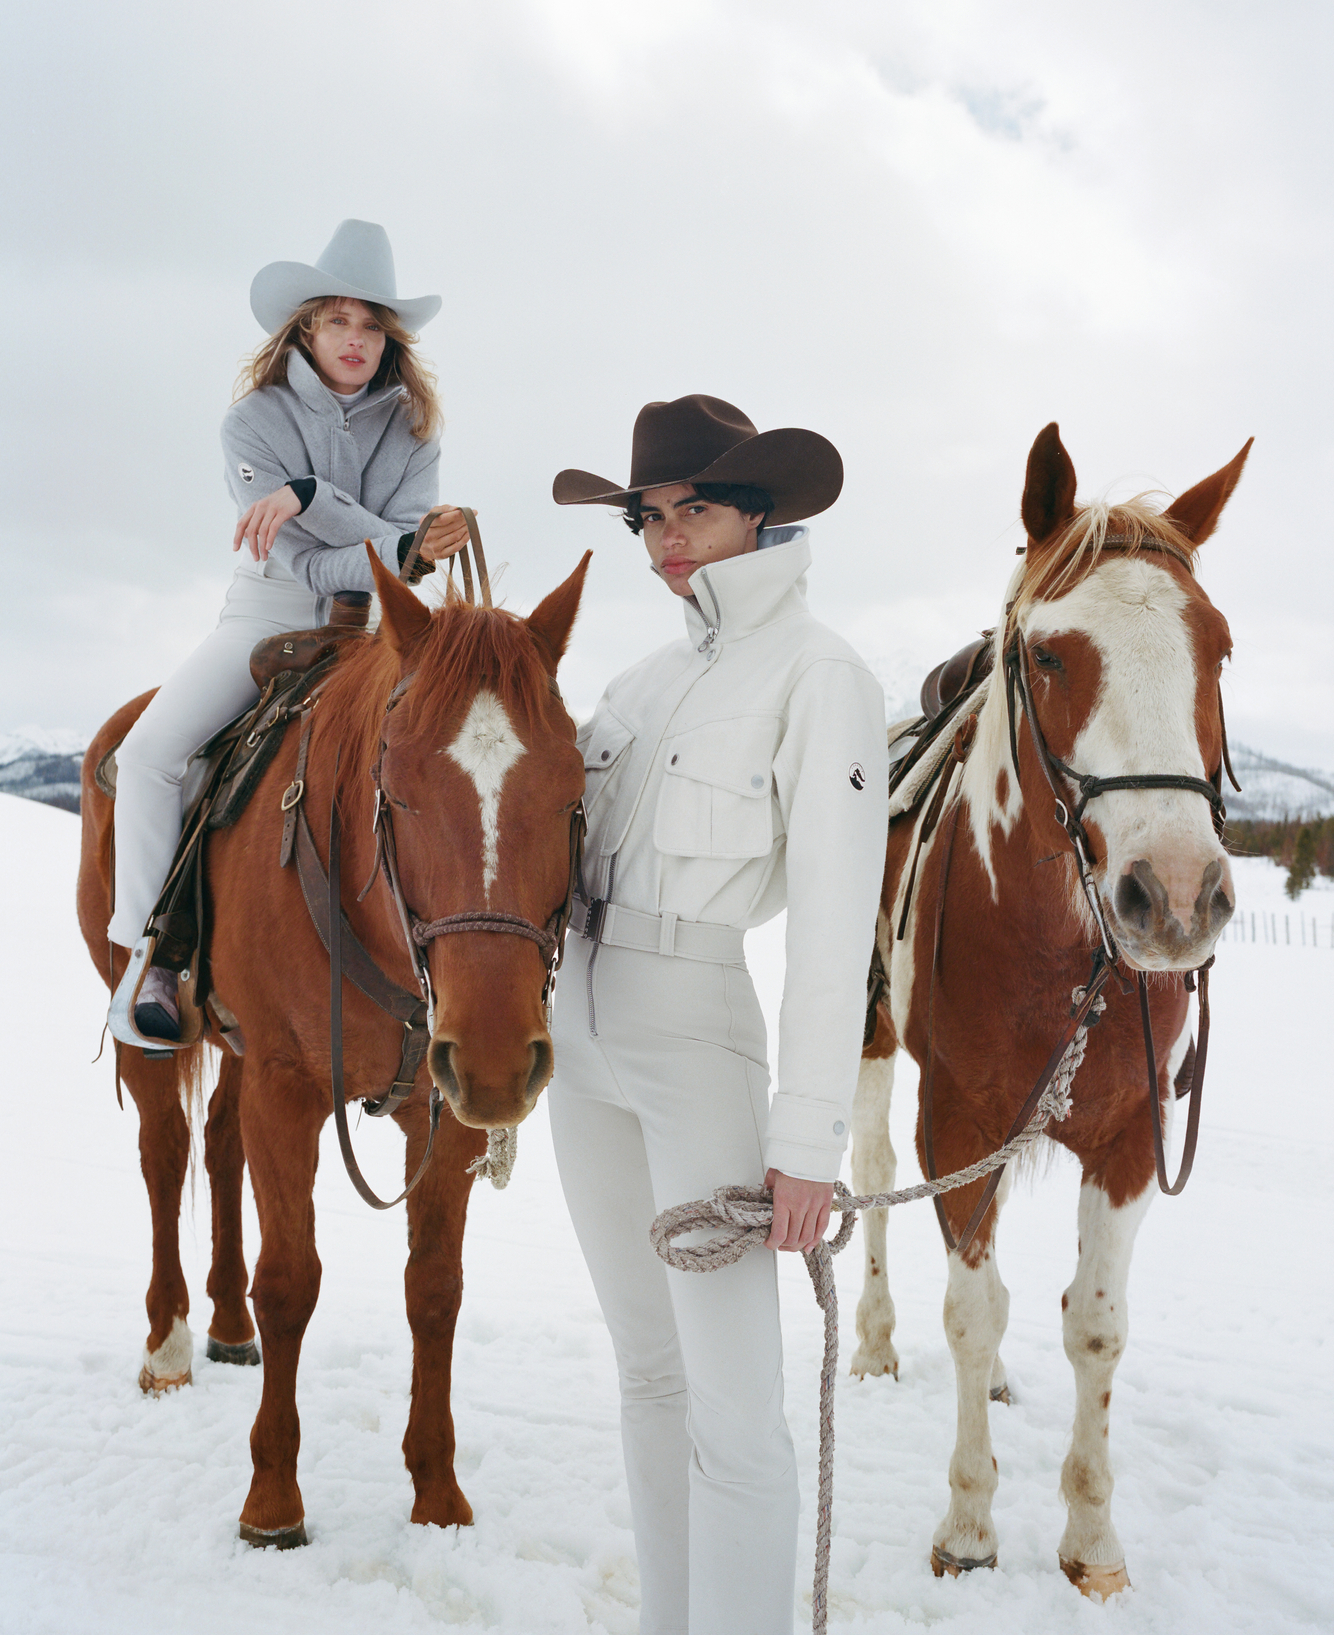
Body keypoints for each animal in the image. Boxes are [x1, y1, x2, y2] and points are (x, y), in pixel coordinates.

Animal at [78, 549, 588, 1543]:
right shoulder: (289, 1087)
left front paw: (437, 1492)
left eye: (575, 790)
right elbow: (291, 1281)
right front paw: (273, 1500)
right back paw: (169, 1342)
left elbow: (435, 1287)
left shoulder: (442, 1107)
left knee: (221, 1143)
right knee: (166, 1151)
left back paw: (225, 1323)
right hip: (148, 1021)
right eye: (399, 788)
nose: (503, 1060)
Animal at [850, 421, 1242, 1595]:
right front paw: (970, 1526)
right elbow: (969, 1312)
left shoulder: (1126, 1138)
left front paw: (1091, 1543)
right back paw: (873, 1340)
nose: (1174, 894)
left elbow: (1096, 1329)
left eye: (1218, 648)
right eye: (1049, 655)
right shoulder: (954, 1122)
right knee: (871, 1177)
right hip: (869, 1038)